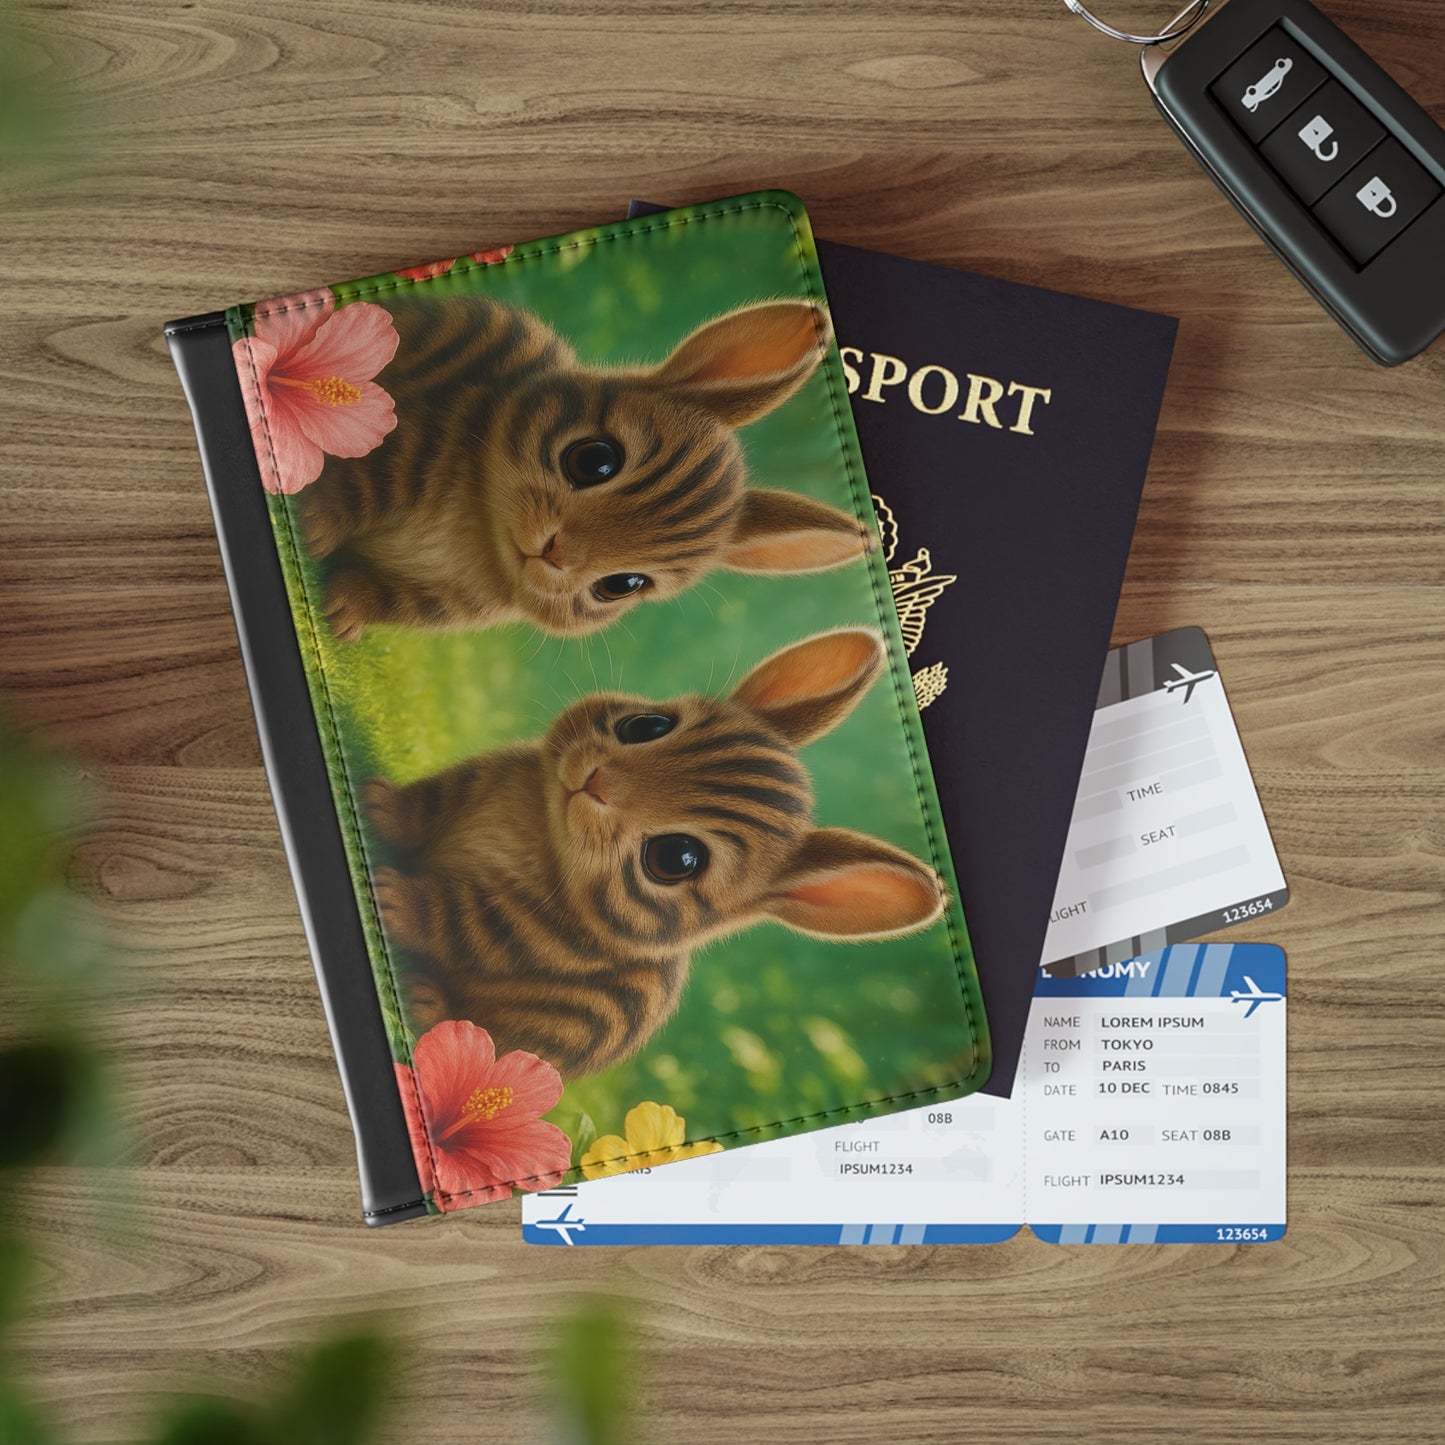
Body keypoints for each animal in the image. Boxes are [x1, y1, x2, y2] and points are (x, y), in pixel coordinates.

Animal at [298, 294, 874, 641]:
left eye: (623, 585)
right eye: (595, 461)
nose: (555, 553)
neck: (479, 539)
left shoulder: (448, 604)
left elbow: (386, 599)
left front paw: (346, 611)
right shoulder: (407, 446)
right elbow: (355, 487)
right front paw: (314, 524)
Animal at [362, 626, 946, 1076]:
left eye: (677, 858)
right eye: (648, 725)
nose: (595, 780)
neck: (543, 830)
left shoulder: (542, 932)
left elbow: (459, 919)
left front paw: (392, 897)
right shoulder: (476, 781)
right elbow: (423, 807)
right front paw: (378, 806)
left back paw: (424, 999)